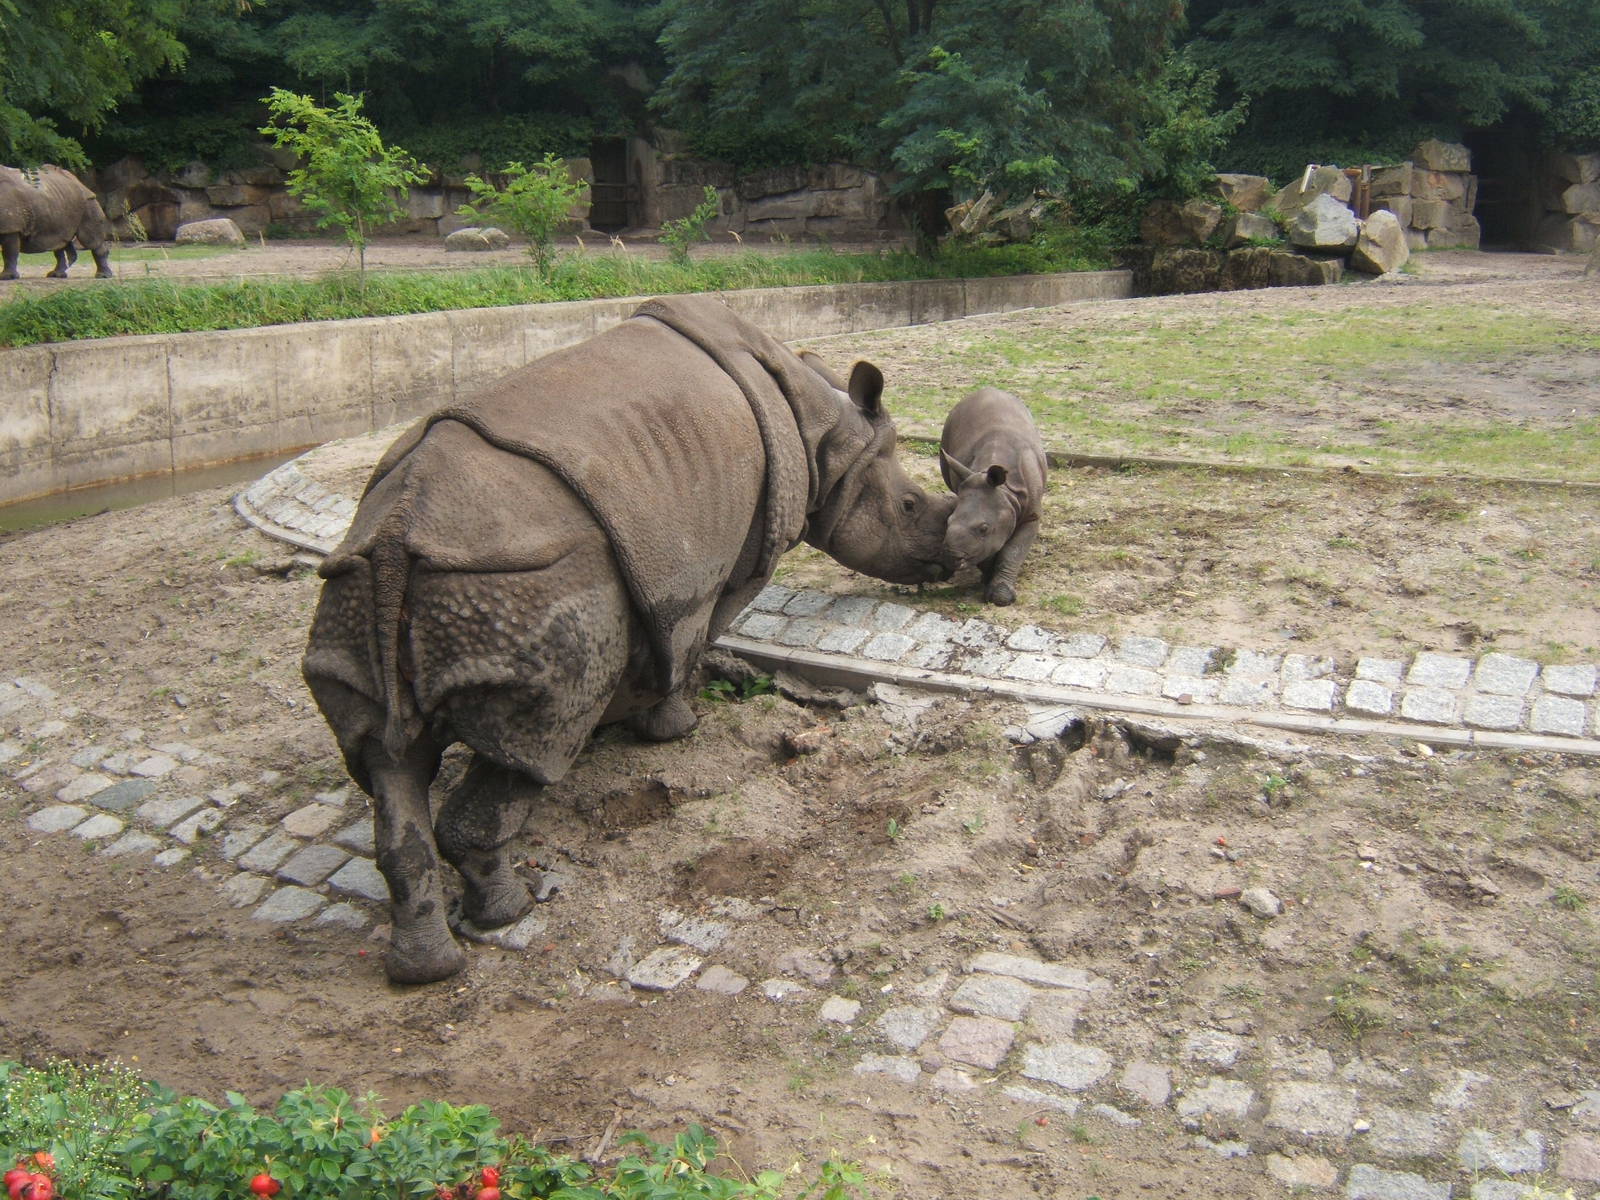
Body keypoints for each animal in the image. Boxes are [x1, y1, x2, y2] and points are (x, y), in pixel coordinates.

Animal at [303, 294, 955, 983]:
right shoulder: (718, 565)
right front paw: (673, 731)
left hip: (362, 588)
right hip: (527, 583)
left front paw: (617, 728)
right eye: (910, 507)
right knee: (532, 743)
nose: (946, 564)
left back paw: (428, 969)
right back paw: (511, 913)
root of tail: (396, 536)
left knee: (387, 760)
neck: (829, 435)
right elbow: (691, 642)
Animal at [939, 387, 1049, 606]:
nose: (950, 558)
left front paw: (1001, 597)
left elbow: (1013, 551)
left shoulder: (1031, 515)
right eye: (948, 521)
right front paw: (987, 578)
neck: (1006, 492)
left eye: (983, 528)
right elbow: (987, 549)